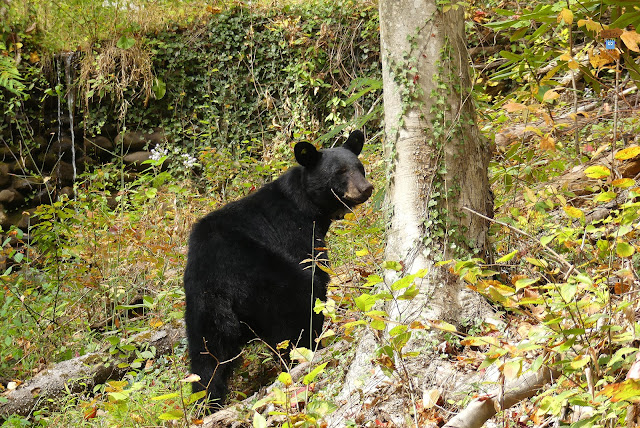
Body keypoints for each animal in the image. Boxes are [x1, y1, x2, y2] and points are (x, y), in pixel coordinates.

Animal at [182, 130, 372, 404]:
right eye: (340, 172)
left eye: (359, 167)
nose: (366, 188)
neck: (306, 205)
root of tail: (220, 287)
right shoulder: (293, 231)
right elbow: (316, 267)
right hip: (270, 282)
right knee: (298, 319)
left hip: (201, 309)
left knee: (207, 361)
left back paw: (208, 402)